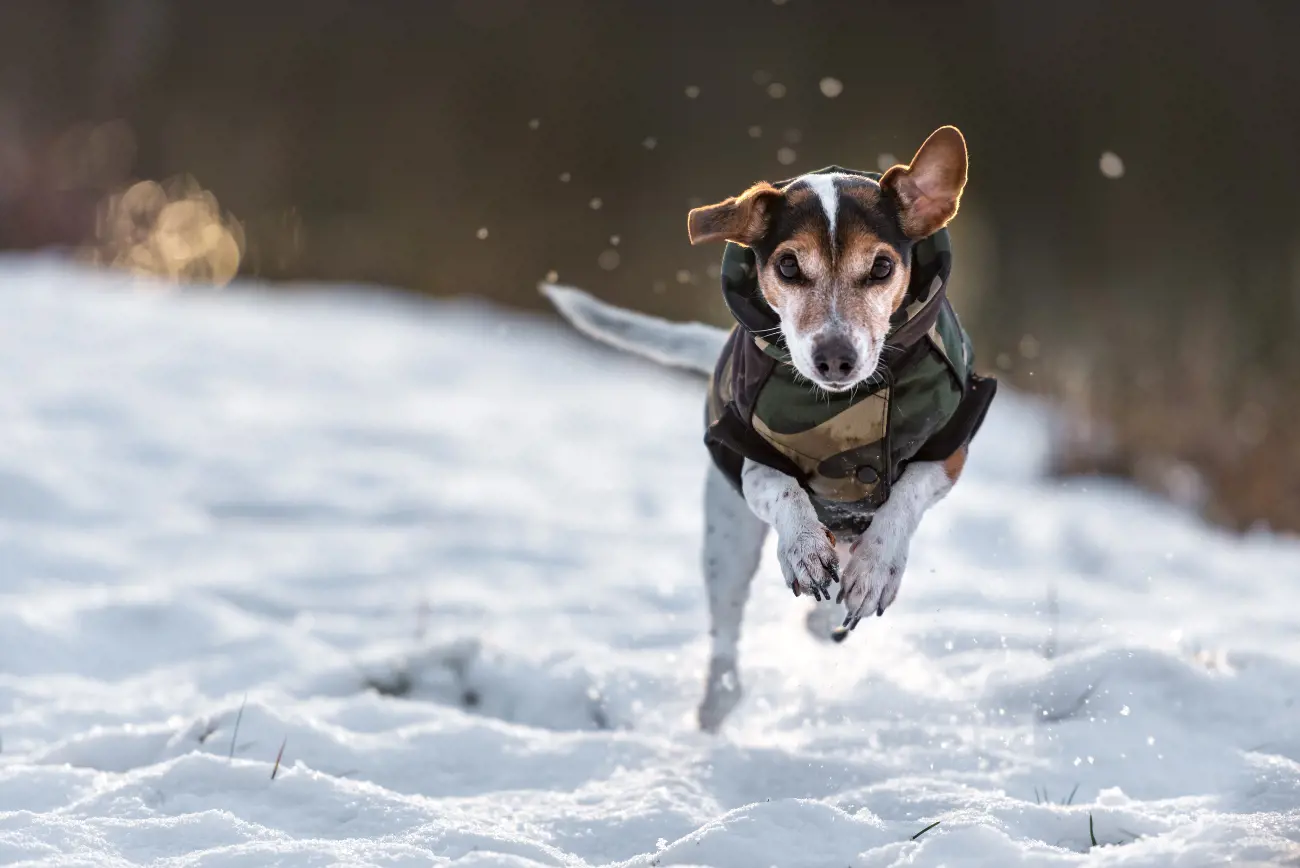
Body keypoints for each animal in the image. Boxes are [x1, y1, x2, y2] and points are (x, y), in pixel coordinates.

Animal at [538, 125, 993, 727]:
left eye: (880, 268)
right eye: (789, 267)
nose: (835, 358)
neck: (844, 406)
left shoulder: (949, 449)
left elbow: (905, 497)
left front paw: (875, 569)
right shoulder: (745, 454)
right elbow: (783, 489)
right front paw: (803, 548)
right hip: (726, 540)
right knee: (727, 640)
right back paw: (718, 704)